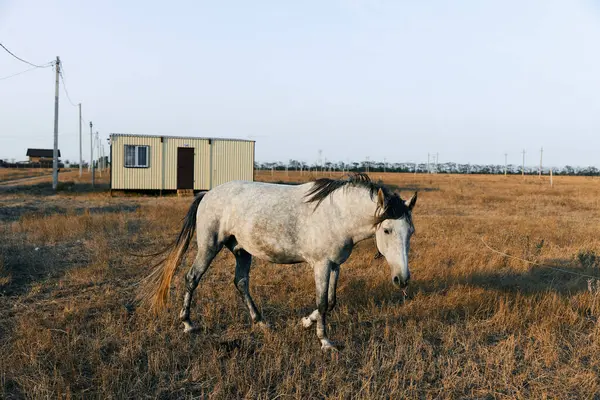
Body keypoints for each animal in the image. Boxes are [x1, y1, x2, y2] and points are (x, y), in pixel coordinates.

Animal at [139, 173, 418, 352]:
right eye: (387, 231)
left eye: (410, 232)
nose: (402, 279)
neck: (337, 213)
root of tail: (207, 194)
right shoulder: (321, 265)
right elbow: (322, 302)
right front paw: (325, 341)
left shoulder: (335, 265)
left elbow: (330, 301)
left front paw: (306, 322)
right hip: (209, 246)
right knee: (192, 278)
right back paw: (187, 323)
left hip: (242, 251)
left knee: (241, 282)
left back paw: (261, 322)